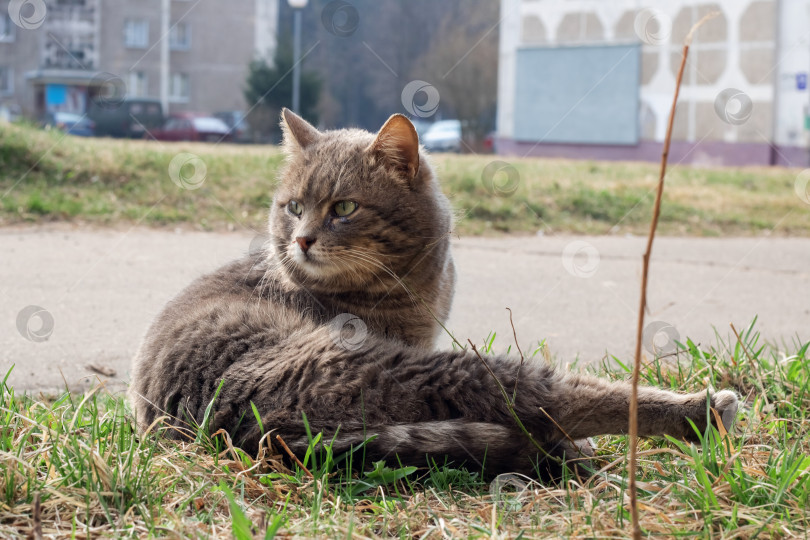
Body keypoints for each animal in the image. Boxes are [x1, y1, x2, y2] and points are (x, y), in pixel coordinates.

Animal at [128, 108, 740, 476]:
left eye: (343, 207)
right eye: (294, 207)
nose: (300, 240)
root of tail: (235, 426)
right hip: (428, 370)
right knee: (556, 400)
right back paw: (698, 413)